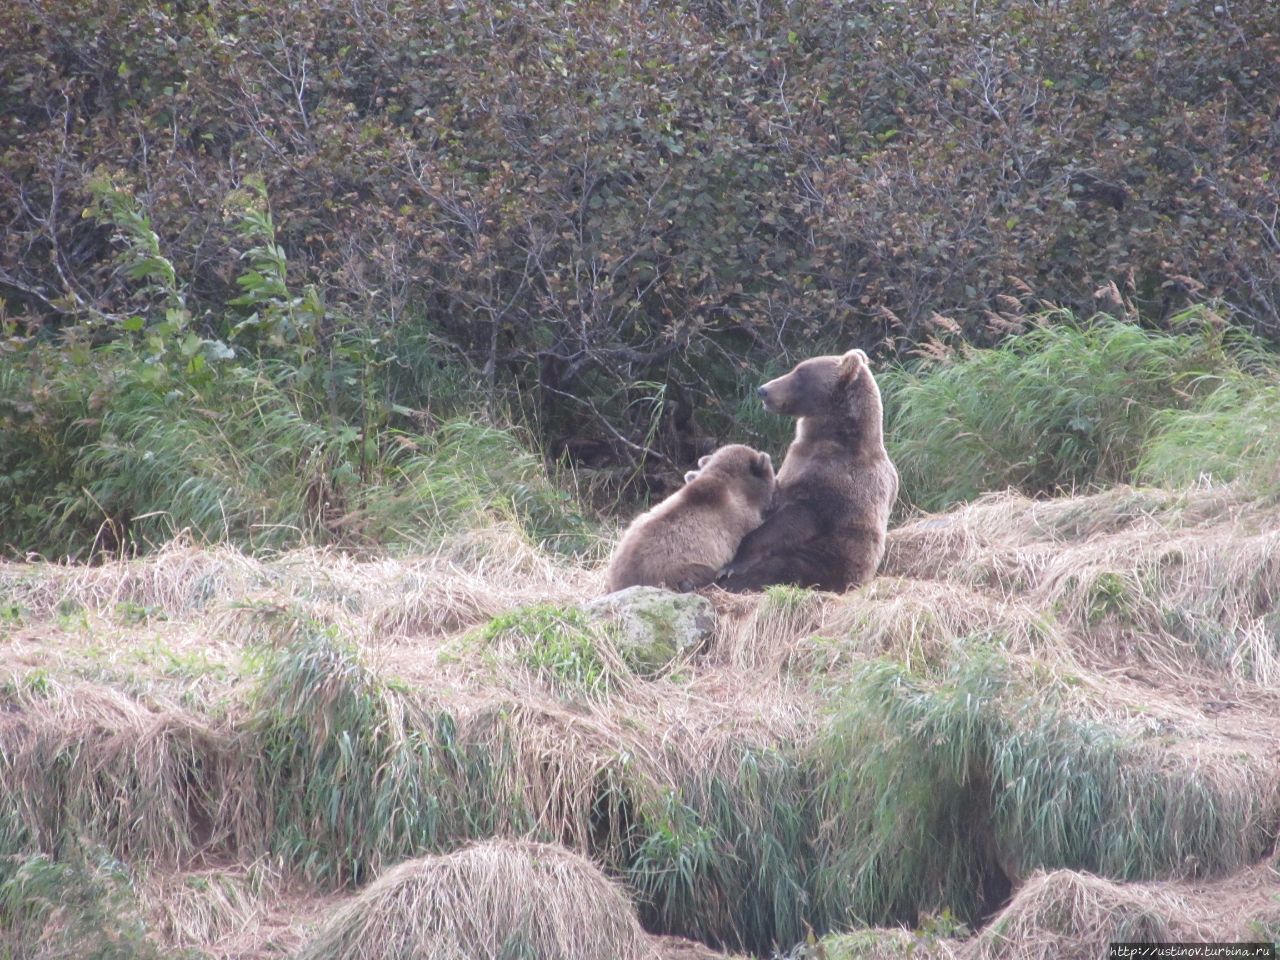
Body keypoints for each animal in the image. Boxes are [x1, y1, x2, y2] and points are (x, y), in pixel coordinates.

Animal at [721, 350, 901, 593]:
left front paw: (733, 565)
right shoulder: (797, 464)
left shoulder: (829, 484)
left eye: (800, 373)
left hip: (824, 560)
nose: (763, 390)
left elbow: (792, 521)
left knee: (780, 569)